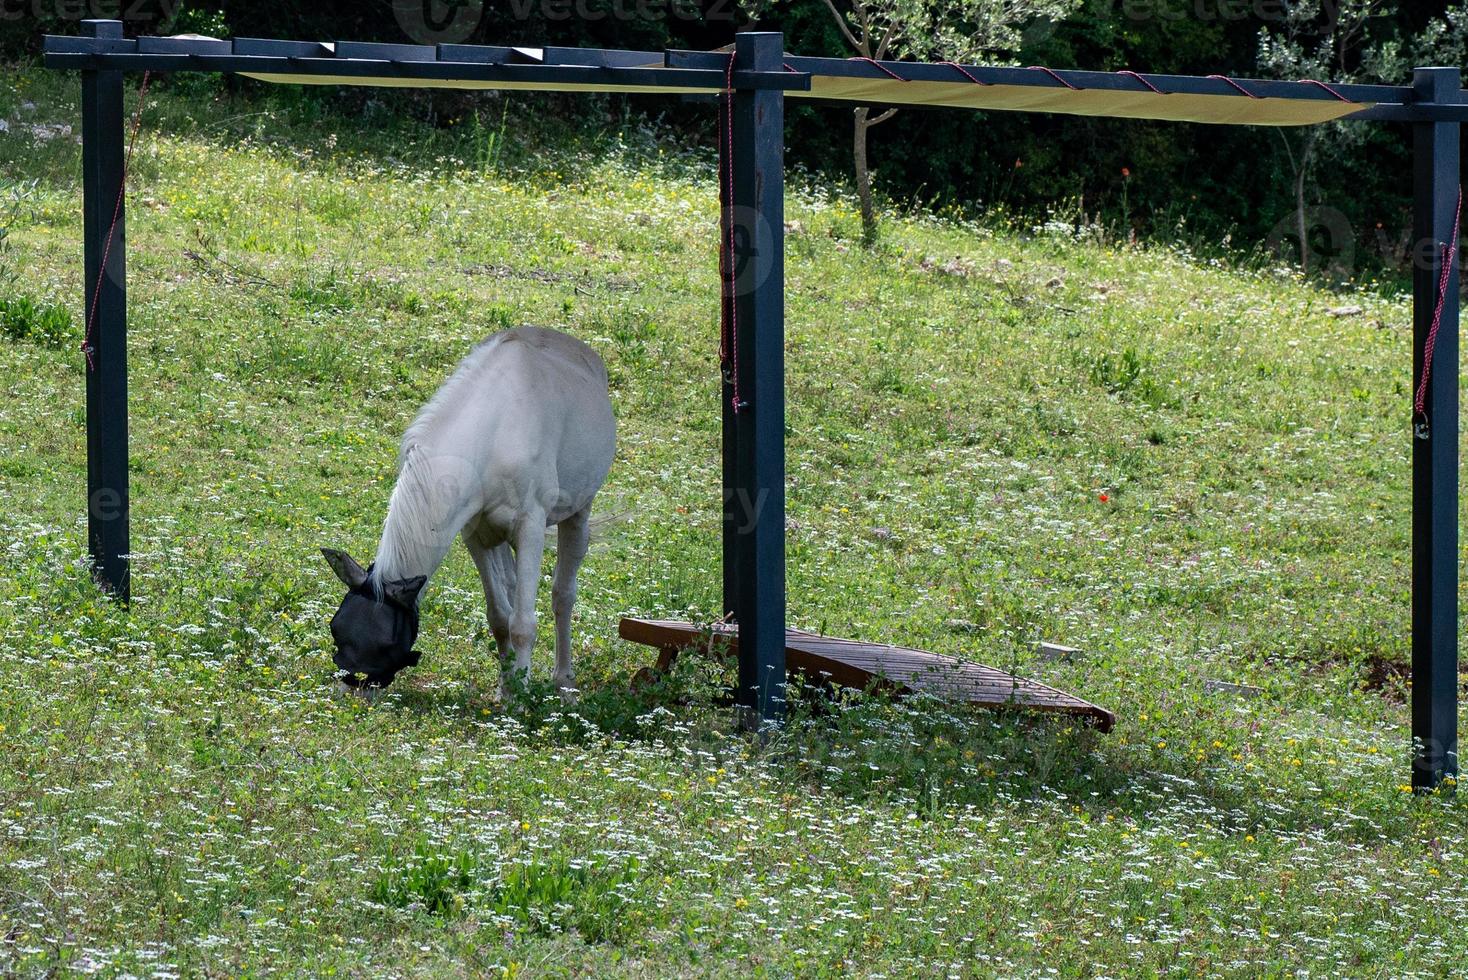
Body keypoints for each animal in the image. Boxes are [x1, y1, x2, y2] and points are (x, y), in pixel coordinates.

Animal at [321, 328, 613, 695]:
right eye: (335, 628)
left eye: (386, 644)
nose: (353, 688)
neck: (493, 434)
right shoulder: (475, 534)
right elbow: (499, 617)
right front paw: (507, 688)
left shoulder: (531, 528)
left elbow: (523, 624)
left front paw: (521, 696)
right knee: (512, 586)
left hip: (578, 513)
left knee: (563, 595)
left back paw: (564, 681)